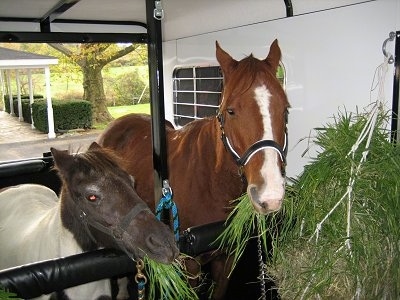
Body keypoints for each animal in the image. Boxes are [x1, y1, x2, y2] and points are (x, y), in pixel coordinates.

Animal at [98, 40, 290, 300]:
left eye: (285, 109)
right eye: (231, 111)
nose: (270, 195)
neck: (211, 182)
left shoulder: (227, 258)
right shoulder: (190, 264)